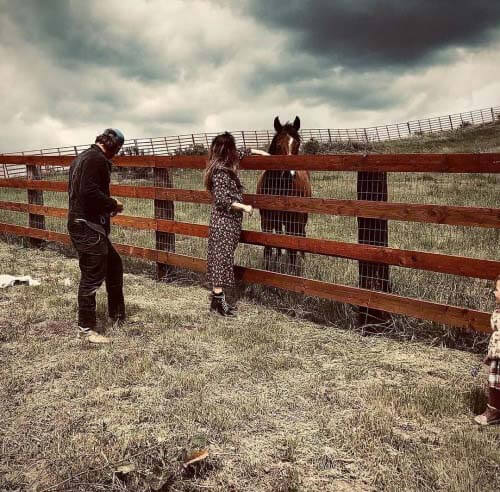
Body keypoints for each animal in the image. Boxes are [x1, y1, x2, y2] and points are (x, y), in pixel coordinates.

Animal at [256, 117, 310, 274]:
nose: (288, 173)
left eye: (297, 144)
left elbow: (292, 248)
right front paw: (268, 268)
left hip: (301, 219)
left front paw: (292, 272)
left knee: (300, 237)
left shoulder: (294, 221)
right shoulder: (266, 220)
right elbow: (268, 247)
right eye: (278, 144)